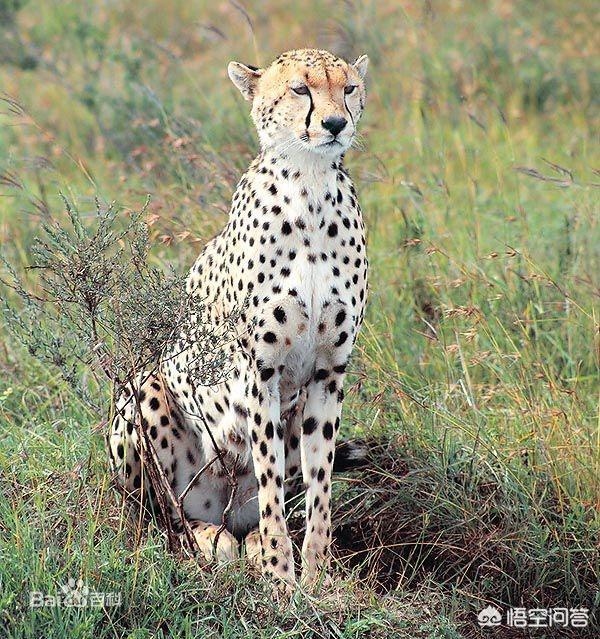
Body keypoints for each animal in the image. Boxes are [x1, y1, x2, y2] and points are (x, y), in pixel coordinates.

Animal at [109, 50, 368, 592]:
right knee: (161, 517)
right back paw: (209, 540)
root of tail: (222, 510)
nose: (336, 123)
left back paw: (243, 544)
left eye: (350, 88)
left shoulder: (329, 372)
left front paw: (315, 576)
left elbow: (318, 483)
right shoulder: (258, 371)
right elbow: (269, 481)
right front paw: (279, 577)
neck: (311, 187)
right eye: (300, 89)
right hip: (141, 392)